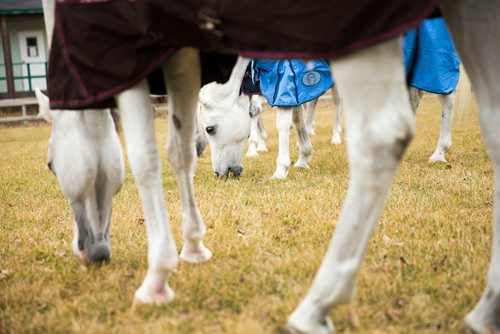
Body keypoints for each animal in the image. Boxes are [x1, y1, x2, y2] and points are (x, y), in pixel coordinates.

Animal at [44, 0, 500, 334]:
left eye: (51, 166)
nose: (88, 250)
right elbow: (291, 119)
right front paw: (301, 157)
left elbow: (281, 120)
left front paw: (283, 165)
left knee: (428, 110)